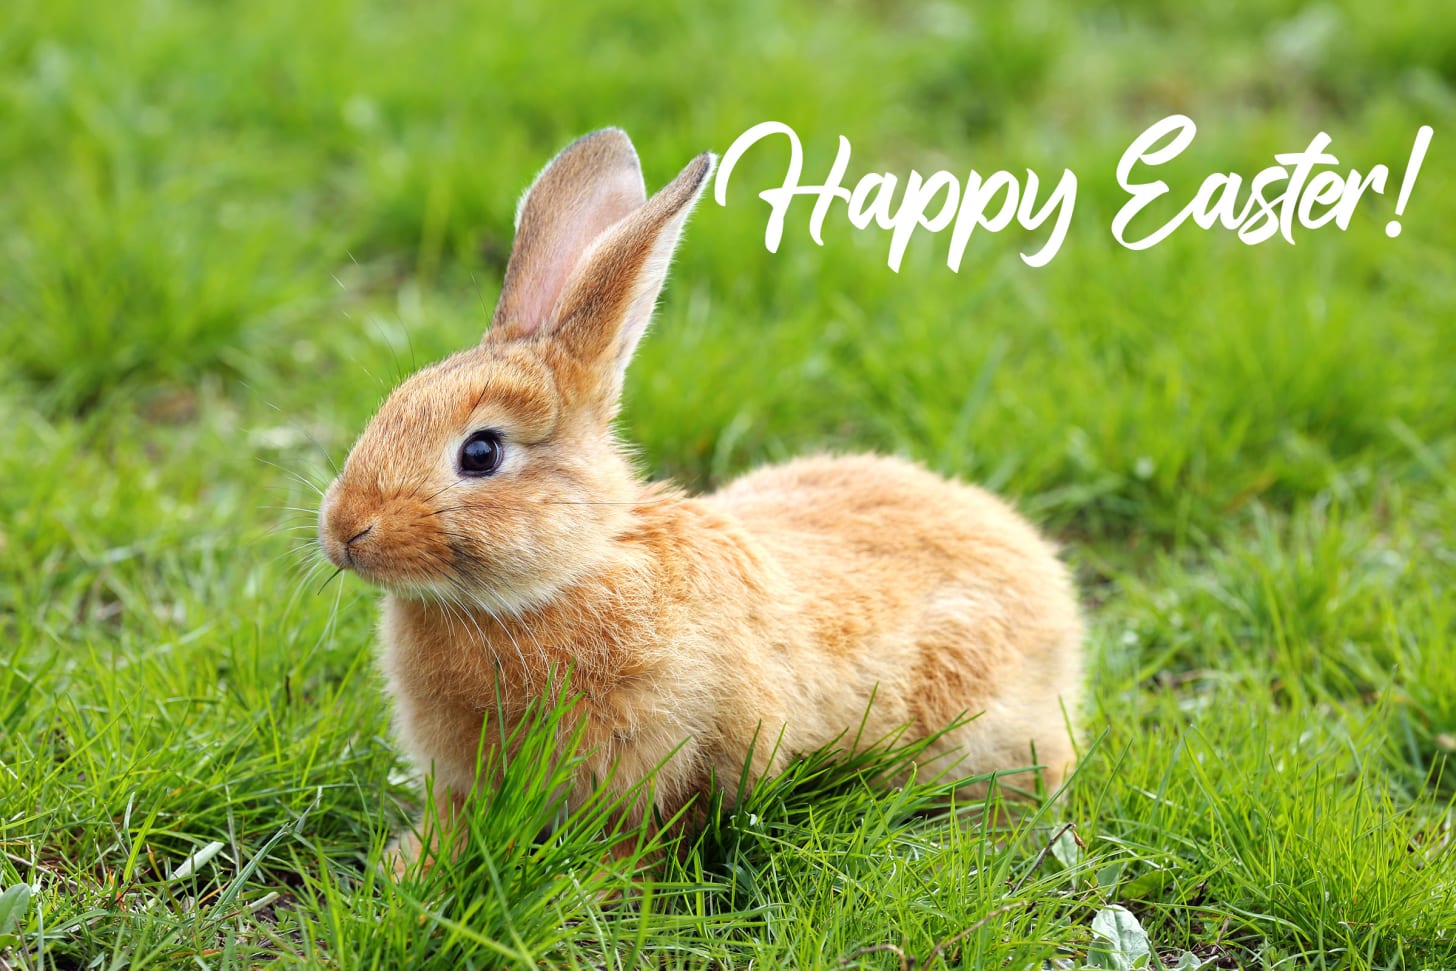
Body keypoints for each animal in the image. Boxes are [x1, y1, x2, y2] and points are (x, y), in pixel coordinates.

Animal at [317, 128, 1084, 876]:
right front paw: (407, 869)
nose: (344, 531)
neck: (561, 578)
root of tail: (1052, 589)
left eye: (480, 453)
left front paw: (594, 890)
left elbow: (636, 838)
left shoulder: (667, 761)